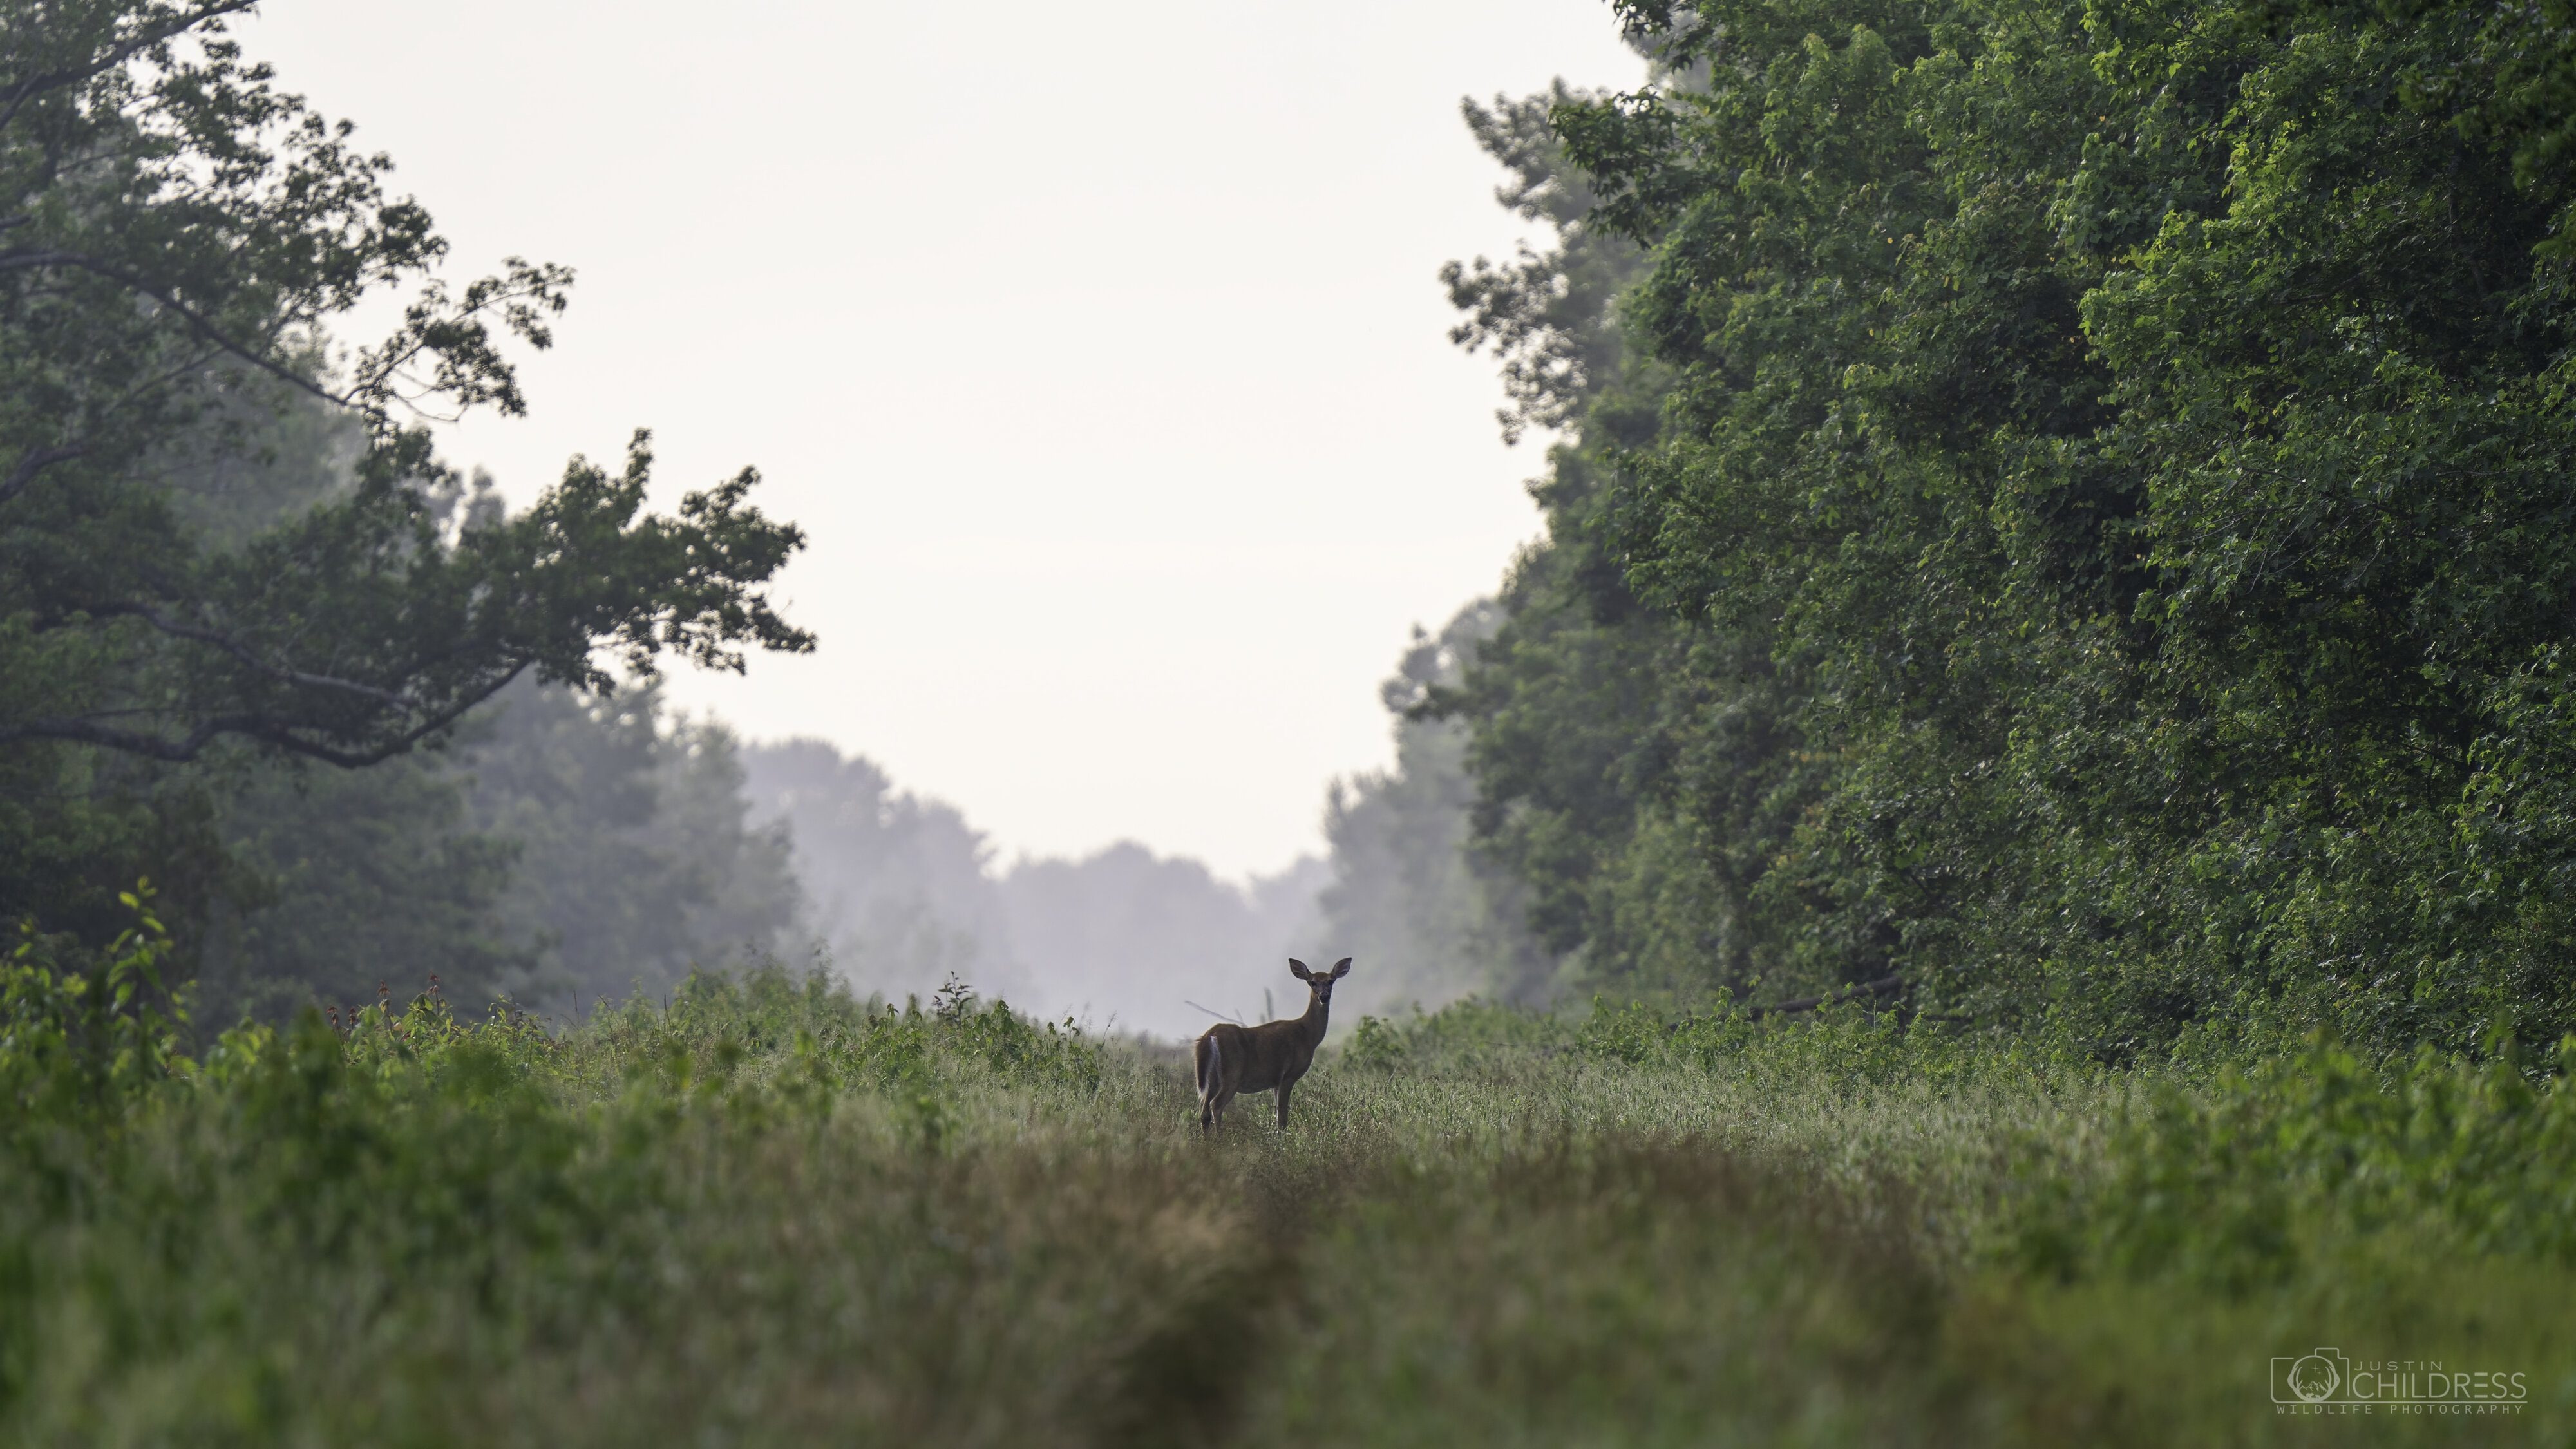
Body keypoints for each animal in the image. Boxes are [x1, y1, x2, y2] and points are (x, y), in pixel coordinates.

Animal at [1190, 954, 1350, 1134]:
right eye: (1312, 982)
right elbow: (1282, 1118)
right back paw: (1220, 1138)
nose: (1324, 996)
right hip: (1232, 1072)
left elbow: (1277, 1114)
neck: (1307, 1034)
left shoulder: (1275, 1082)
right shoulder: (1288, 1075)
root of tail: (1210, 1035)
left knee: (1204, 1112)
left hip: (1210, 1078)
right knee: (1216, 1105)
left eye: (1331, 981)